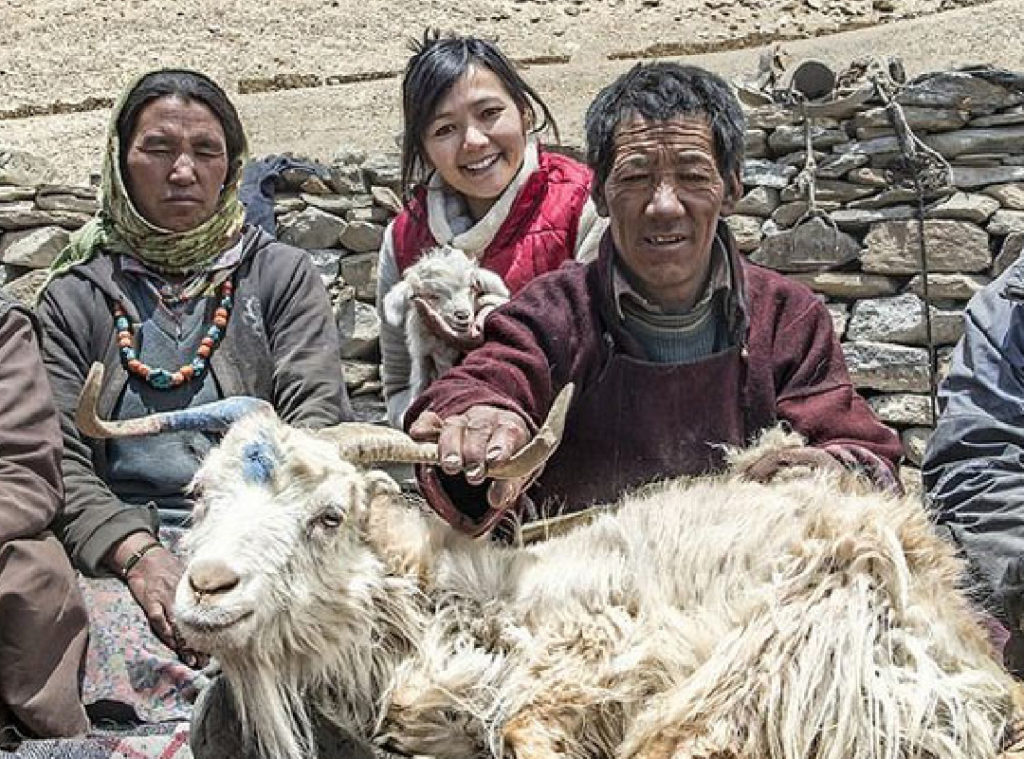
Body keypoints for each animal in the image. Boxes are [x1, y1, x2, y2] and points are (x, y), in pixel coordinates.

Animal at [172, 417, 1019, 757]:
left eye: (329, 515)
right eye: (199, 494)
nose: (205, 588)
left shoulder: (602, 655)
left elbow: (525, 729)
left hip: (759, 670)